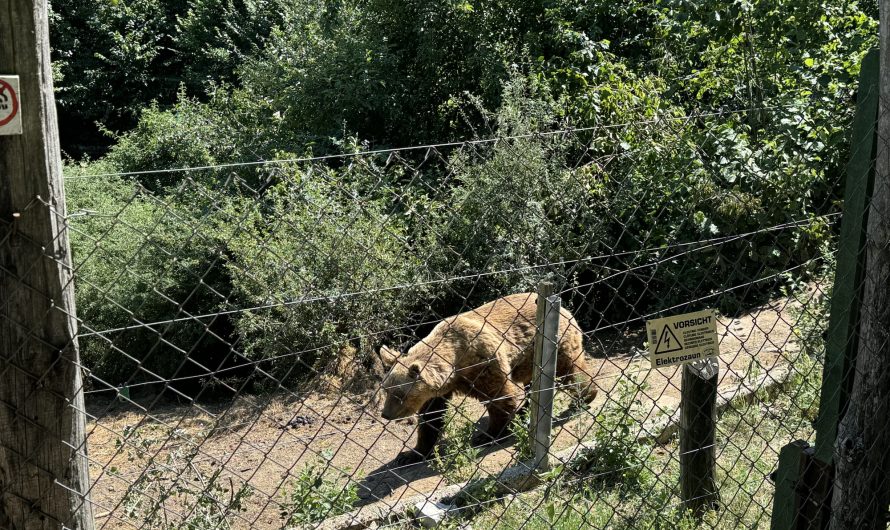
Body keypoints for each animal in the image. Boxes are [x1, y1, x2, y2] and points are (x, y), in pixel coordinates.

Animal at [376, 290, 592, 464]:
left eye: (399, 394)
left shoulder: (483, 361)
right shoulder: (440, 391)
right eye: (386, 390)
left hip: (552, 343)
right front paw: (411, 453)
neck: (455, 363)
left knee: (570, 370)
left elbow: (499, 396)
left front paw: (488, 434)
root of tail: (565, 309)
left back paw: (586, 396)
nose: (386, 414)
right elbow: (431, 418)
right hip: (530, 360)